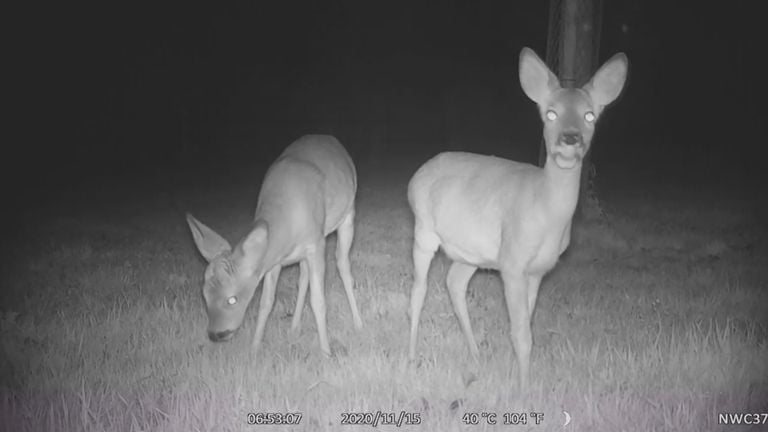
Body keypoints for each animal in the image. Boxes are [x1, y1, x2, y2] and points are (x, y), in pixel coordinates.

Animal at [188, 136, 364, 358]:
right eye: (205, 295)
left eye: (232, 299)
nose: (216, 334)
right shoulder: (274, 261)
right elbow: (266, 302)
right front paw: (254, 349)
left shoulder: (316, 244)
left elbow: (318, 301)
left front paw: (326, 352)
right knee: (303, 277)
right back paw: (294, 327)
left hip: (347, 215)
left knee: (342, 264)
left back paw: (358, 323)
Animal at [404, 46, 628, 388]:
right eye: (550, 113)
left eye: (590, 115)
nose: (571, 138)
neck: (546, 212)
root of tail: (417, 174)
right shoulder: (511, 260)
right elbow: (522, 334)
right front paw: (524, 390)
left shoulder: (536, 271)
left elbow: (523, 327)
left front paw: (517, 377)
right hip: (424, 229)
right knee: (418, 291)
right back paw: (413, 357)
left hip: (472, 251)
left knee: (454, 282)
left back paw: (475, 355)